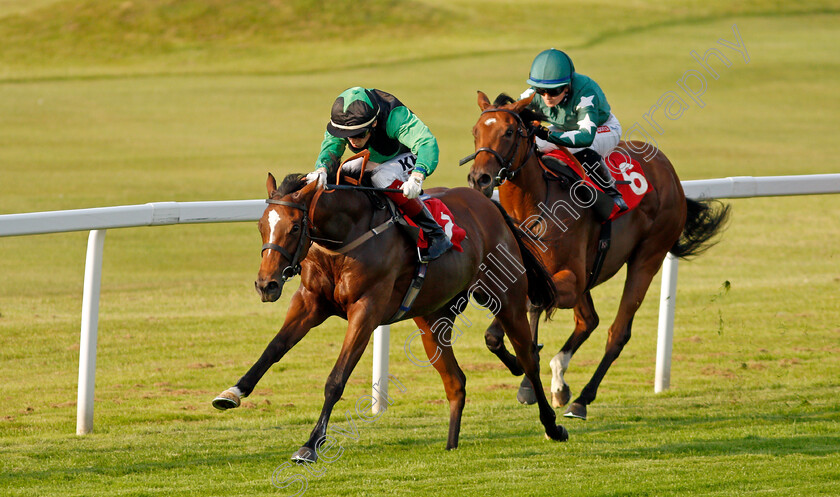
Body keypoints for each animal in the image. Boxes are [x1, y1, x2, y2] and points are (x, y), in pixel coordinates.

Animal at [213, 170, 568, 462]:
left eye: (296, 226)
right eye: (261, 225)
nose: (266, 284)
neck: (345, 240)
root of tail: (489, 205)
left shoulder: (366, 311)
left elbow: (336, 379)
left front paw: (311, 444)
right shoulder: (310, 302)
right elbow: (273, 349)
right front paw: (232, 393)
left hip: (506, 298)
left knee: (529, 359)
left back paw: (551, 425)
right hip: (432, 320)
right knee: (456, 381)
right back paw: (451, 445)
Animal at [466, 92, 728, 418]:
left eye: (509, 132)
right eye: (476, 132)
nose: (480, 178)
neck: (534, 207)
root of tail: (669, 170)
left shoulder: (571, 277)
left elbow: (534, 303)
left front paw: (528, 378)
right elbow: (499, 329)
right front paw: (523, 367)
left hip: (648, 257)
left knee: (617, 332)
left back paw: (581, 398)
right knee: (588, 320)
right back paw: (560, 381)